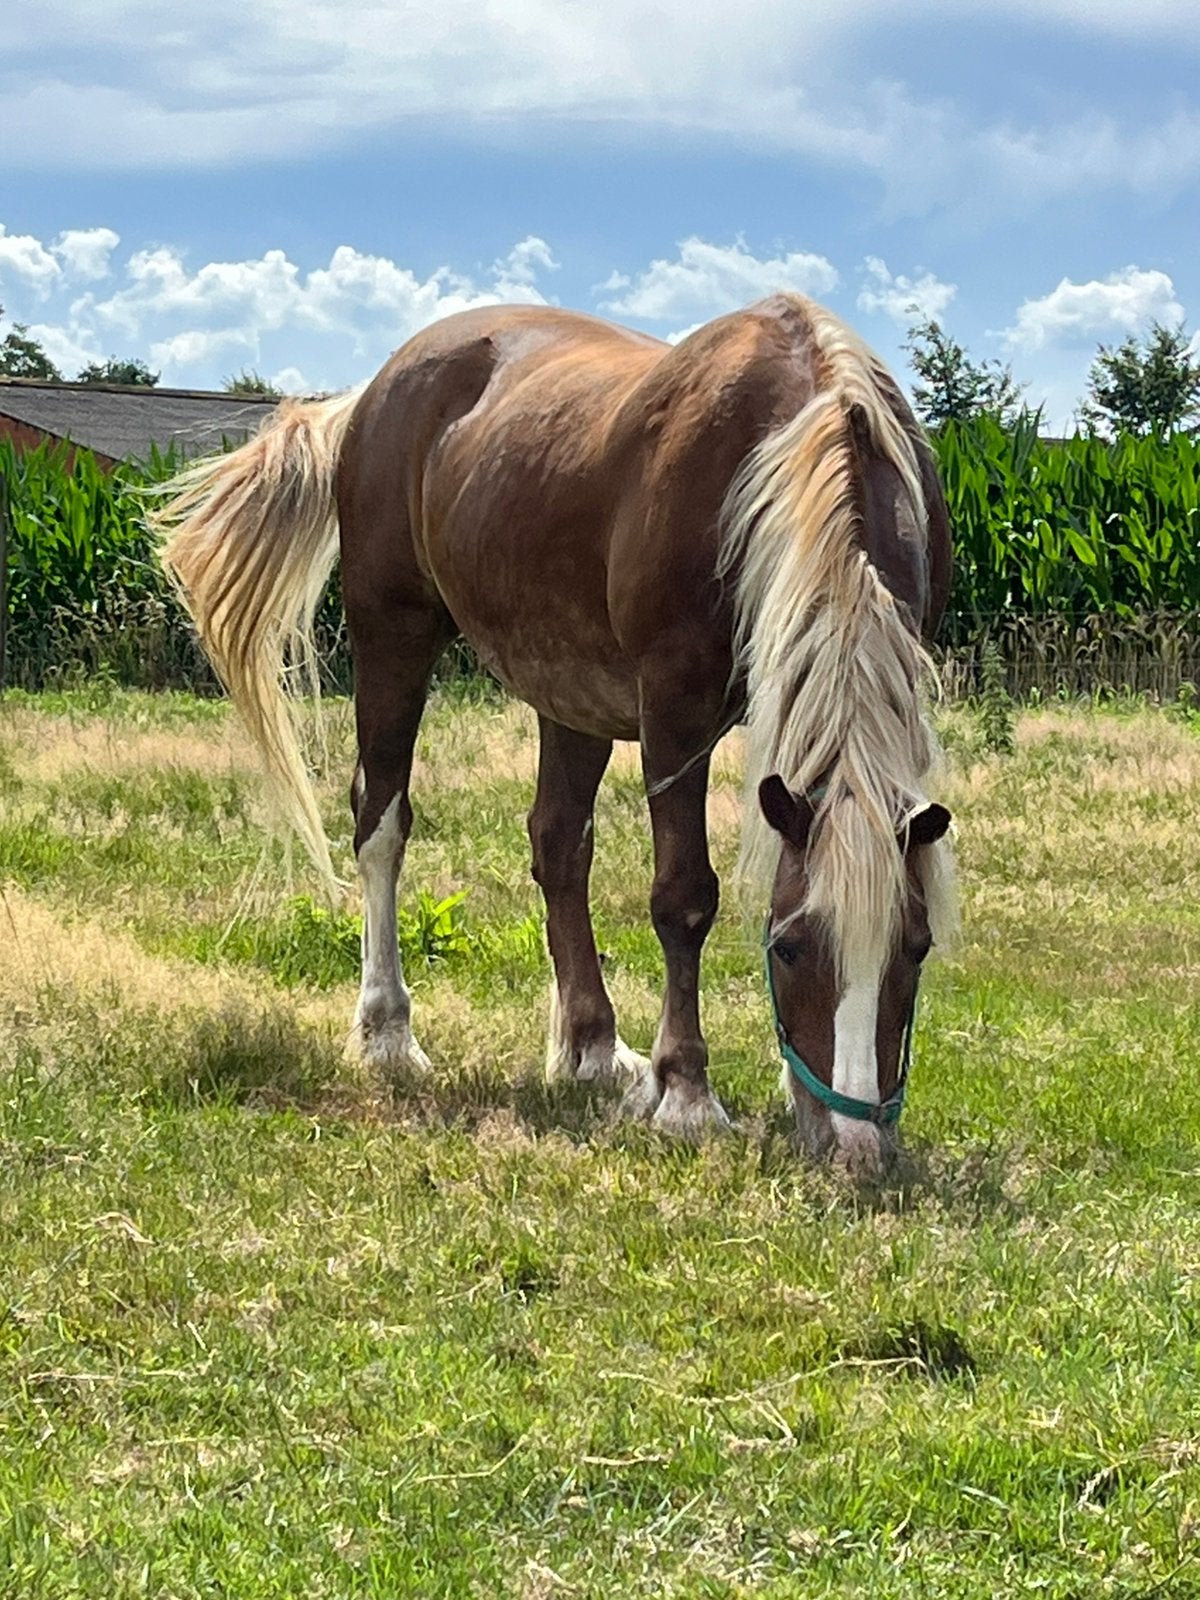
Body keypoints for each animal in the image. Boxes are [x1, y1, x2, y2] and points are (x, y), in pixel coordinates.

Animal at [155, 292, 956, 1172]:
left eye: (917, 947)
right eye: (788, 946)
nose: (858, 1149)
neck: (788, 451)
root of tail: (372, 392)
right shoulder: (674, 710)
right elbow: (685, 898)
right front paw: (686, 1094)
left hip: (567, 687)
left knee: (559, 843)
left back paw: (592, 1047)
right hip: (392, 630)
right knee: (381, 821)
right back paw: (387, 1031)